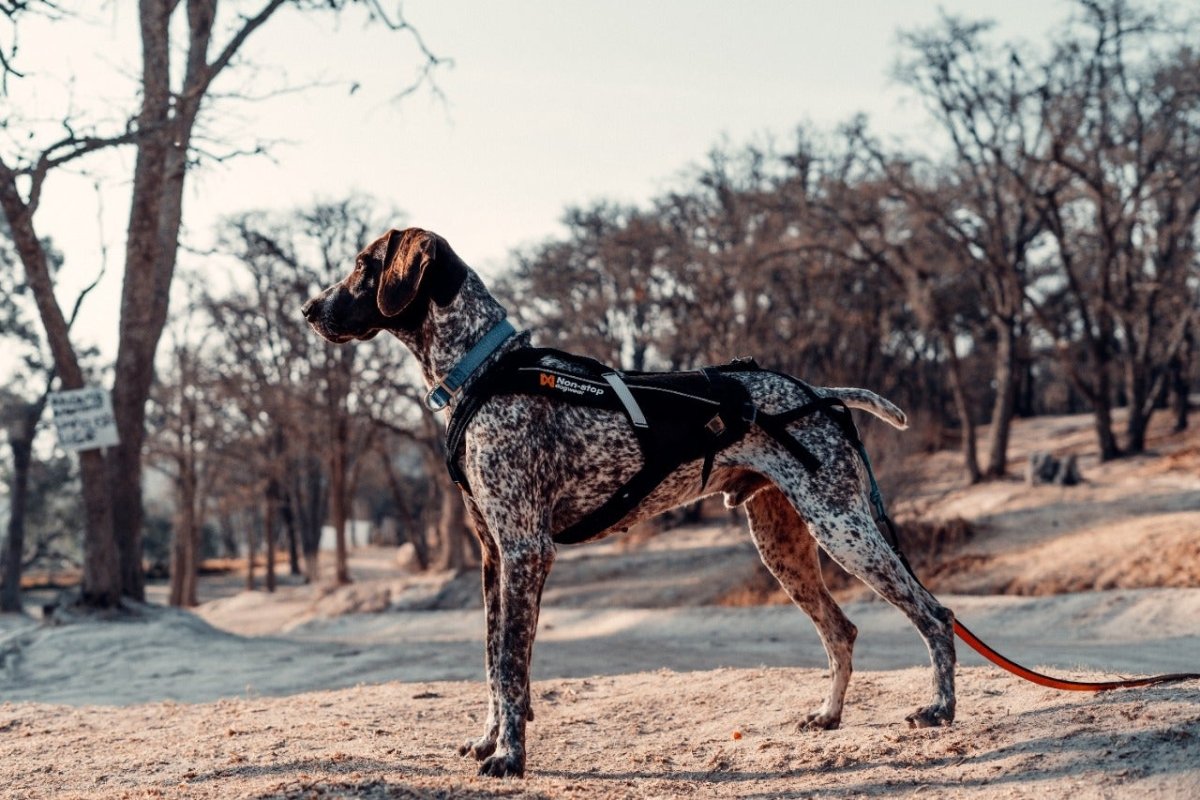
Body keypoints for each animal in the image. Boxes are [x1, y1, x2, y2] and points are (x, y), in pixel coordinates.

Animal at [304, 227, 960, 777]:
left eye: (363, 265)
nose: (309, 309)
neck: (483, 368)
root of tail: (819, 392)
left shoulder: (525, 550)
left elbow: (512, 668)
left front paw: (510, 757)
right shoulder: (494, 557)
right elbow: (494, 663)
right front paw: (490, 741)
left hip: (843, 527)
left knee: (934, 613)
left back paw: (939, 708)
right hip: (785, 546)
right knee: (842, 630)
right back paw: (828, 715)